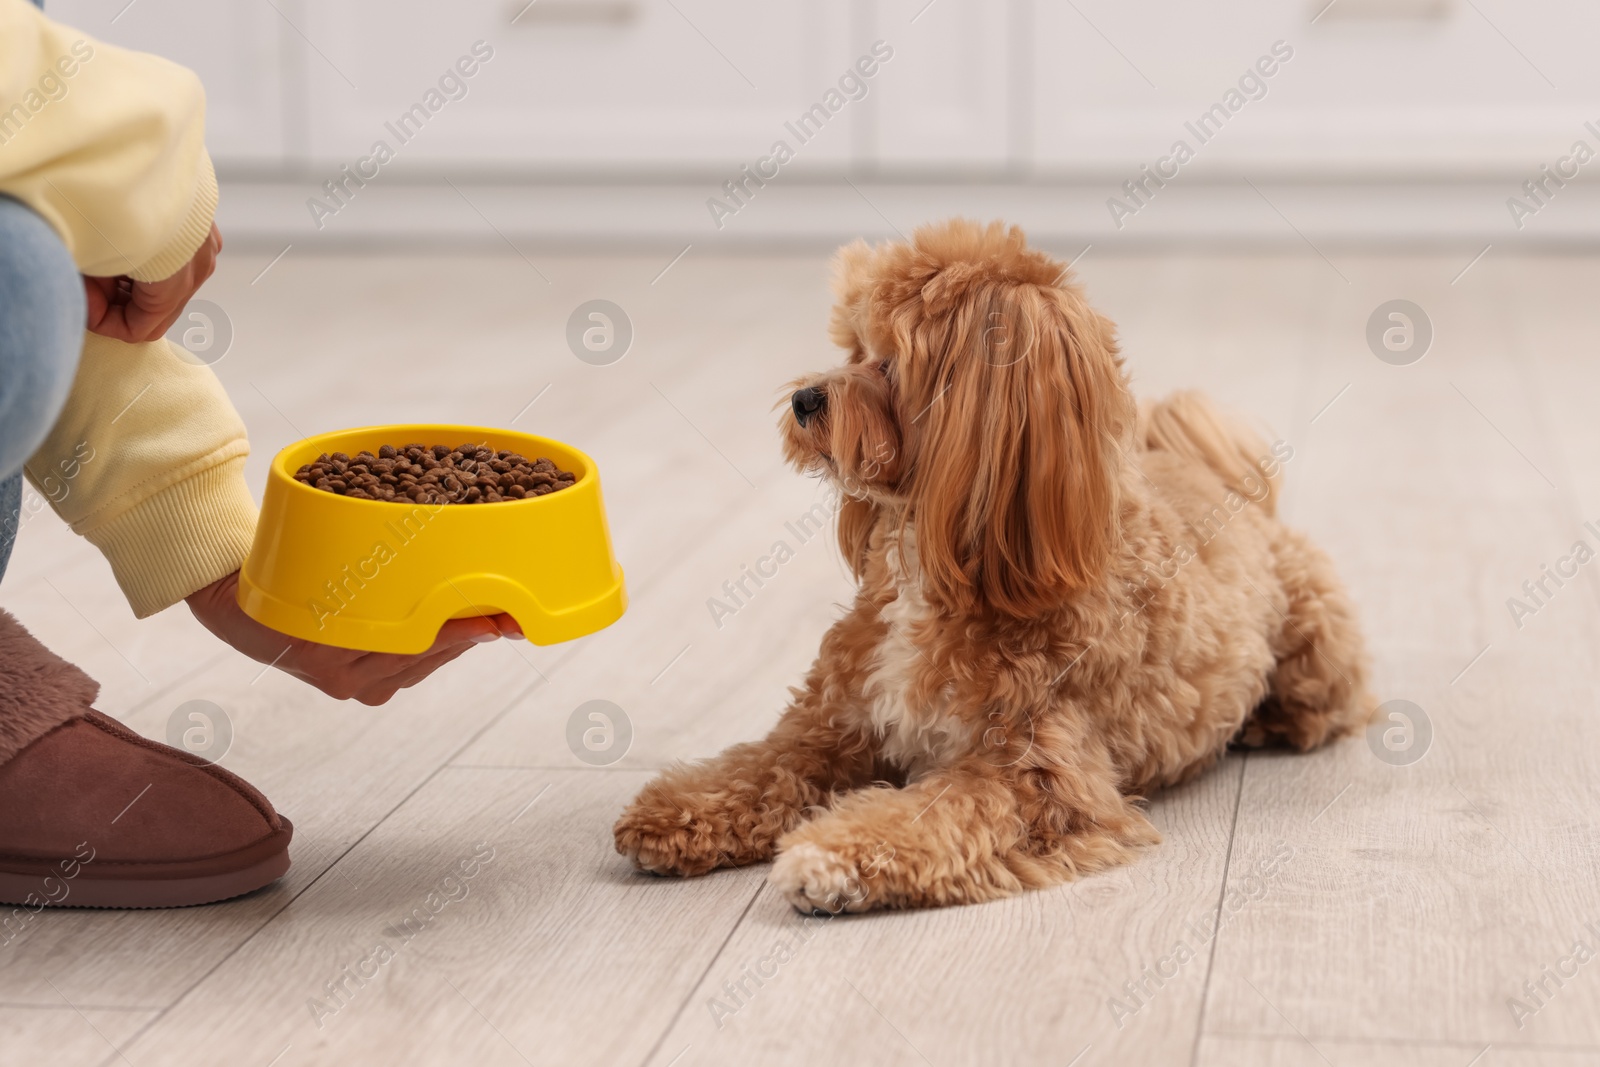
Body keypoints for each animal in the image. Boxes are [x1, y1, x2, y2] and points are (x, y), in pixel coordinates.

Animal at [614, 220, 1376, 915]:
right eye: (852, 348)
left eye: (890, 363)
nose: (805, 400)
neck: (932, 561)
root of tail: (1228, 487)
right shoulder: (832, 727)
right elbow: (760, 766)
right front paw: (674, 808)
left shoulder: (1036, 779)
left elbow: (928, 815)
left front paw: (828, 858)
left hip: (1315, 645)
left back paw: (1268, 722)